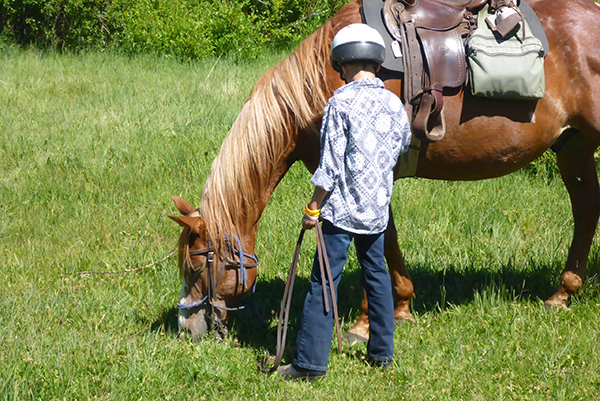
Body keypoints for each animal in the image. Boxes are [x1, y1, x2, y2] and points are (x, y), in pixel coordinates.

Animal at [168, 0, 600, 340]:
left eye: (197, 266)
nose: (187, 329)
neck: (326, 78)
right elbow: (383, 236)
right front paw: (401, 306)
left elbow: (371, 237)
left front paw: (364, 324)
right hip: (575, 147)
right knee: (586, 211)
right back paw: (562, 294)